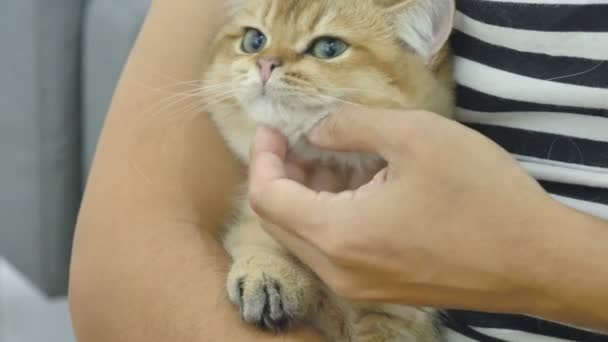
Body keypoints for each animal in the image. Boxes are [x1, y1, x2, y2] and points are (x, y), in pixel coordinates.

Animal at [201, 0, 456, 340]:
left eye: (329, 48)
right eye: (254, 41)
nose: (266, 63)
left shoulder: (395, 320)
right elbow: (255, 236)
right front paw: (268, 272)